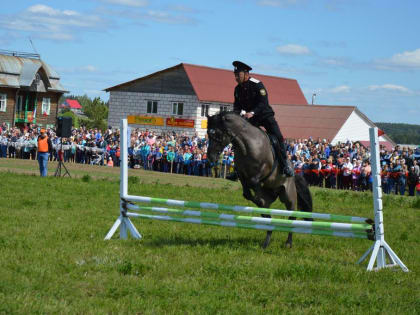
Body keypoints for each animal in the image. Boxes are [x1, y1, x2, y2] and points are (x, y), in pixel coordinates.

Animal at [207, 111, 312, 249]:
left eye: (217, 133)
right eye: (208, 133)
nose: (210, 157)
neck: (246, 145)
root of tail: (295, 172)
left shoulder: (261, 171)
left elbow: (253, 182)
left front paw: (258, 198)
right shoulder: (241, 174)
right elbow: (246, 192)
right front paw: (257, 199)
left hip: (288, 195)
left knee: (291, 216)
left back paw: (288, 243)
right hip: (272, 195)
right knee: (266, 215)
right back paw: (266, 240)